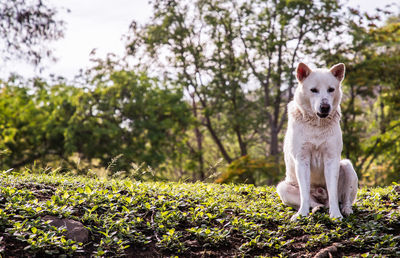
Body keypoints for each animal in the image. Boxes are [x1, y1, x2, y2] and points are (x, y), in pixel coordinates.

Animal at [276, 62, 358, 220]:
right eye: (313, 90)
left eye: (331, 89)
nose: (325, 107)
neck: (317, 125)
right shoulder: (302, 159)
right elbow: (304, 194)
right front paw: (301, 214)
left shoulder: (331, 158)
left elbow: (333, 193)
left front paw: (336, 215)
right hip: (283, 187)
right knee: (312, 201)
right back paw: (316, 208)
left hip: (347, 166)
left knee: (345, 199)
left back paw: (345, 210)